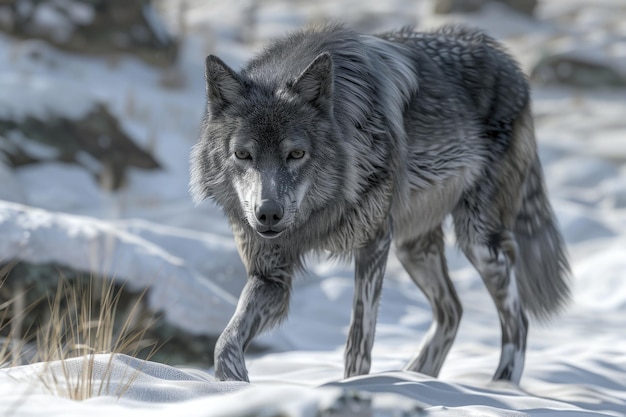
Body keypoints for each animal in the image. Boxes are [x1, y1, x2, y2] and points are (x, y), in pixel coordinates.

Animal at [190, 23, 572, 384]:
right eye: (243, 154)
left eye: (296, 154)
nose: (268, 214)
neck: (316, 217)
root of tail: (509, 61)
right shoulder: (271, 274)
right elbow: (225, 342)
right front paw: (232, 386)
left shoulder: (373, 243)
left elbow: (358, 343)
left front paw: (357, 387)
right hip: (413, 249)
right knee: (453, 309)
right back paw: (418, 377)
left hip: (477, 244)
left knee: (517, 320)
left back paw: (499, 389)